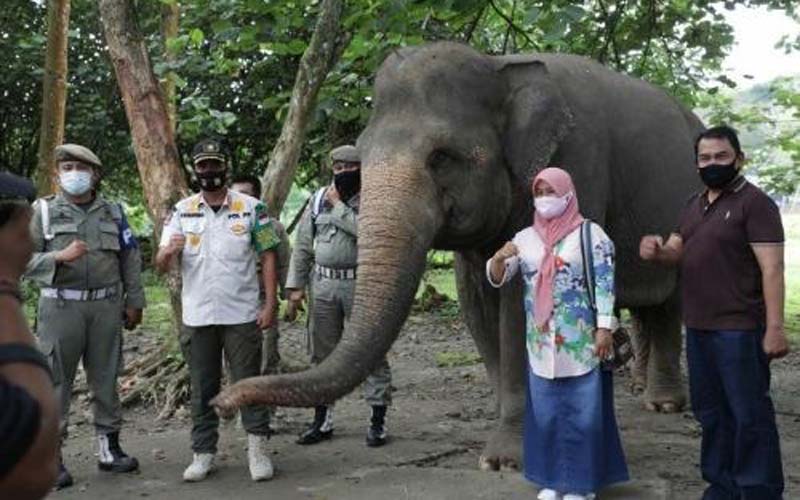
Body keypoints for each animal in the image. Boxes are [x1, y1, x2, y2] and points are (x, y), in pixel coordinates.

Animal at [214, 42, 708, 468]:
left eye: (441, 157)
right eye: (364, 154)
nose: (221, 403)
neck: (502, 66)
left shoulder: (577, 163)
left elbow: (519, 306)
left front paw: (505, 459)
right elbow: (477, 302)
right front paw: (504, 439)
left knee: (671, 302)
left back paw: (665, 403)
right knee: (649, 305)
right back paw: (646, 391)